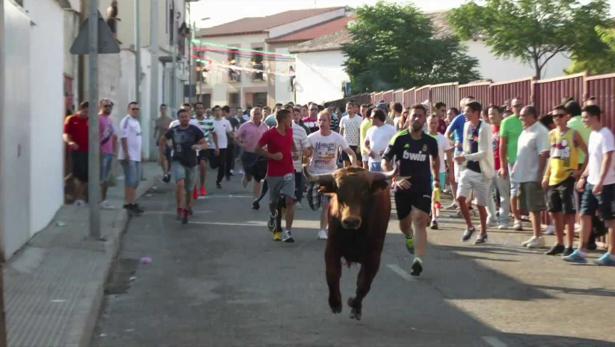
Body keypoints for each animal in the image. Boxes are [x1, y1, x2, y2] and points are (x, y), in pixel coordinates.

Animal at [304, 167, 394, 322]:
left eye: (364, 192)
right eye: (339, 192)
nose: (351, 221)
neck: (354, 234)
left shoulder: (373, 256)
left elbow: (364, 284)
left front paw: (354, 304)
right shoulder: (332, 248)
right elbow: (332, 274)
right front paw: (335, 303)